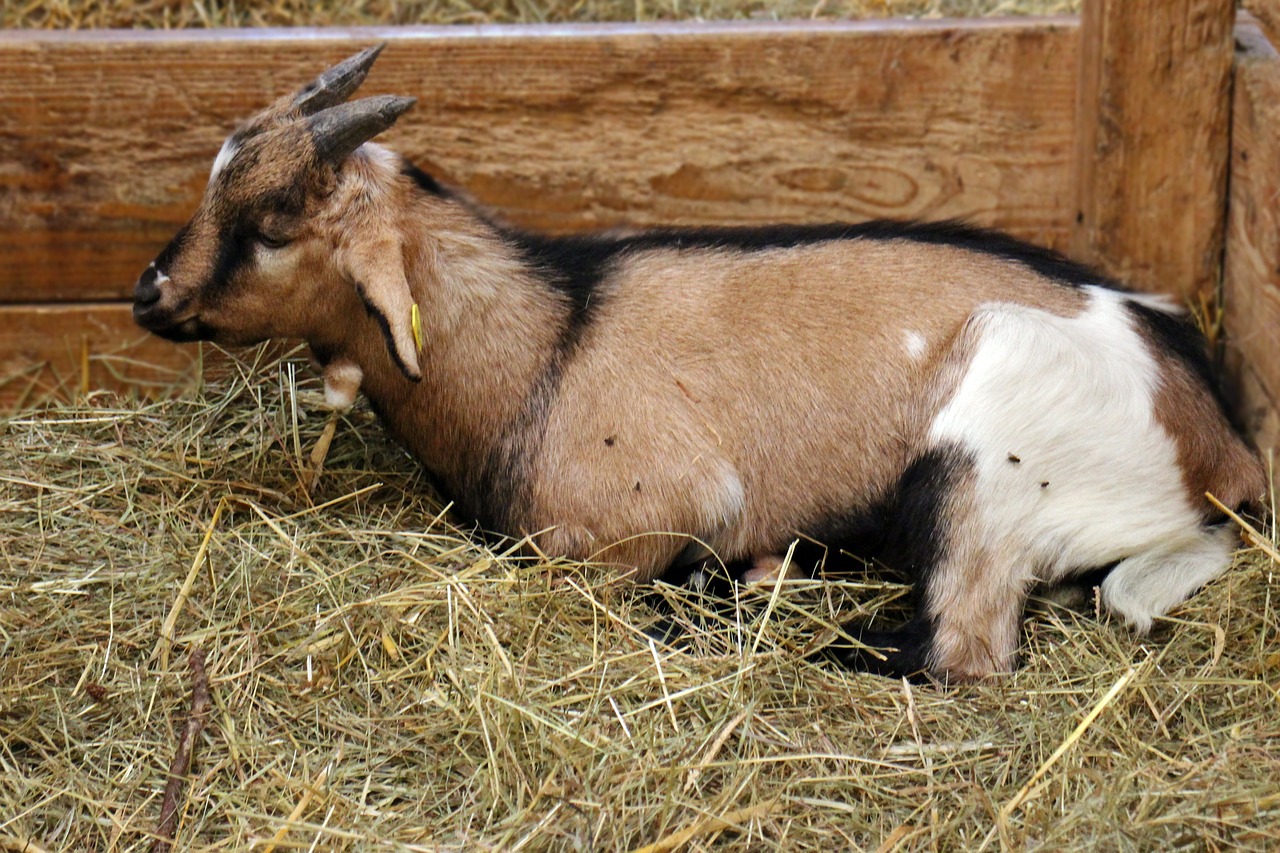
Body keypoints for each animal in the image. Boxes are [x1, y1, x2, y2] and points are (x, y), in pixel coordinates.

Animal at [132, 48, 1259, 686]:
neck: (550, 338)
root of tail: (1221, 449)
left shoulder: (654, 509)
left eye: (272, 225)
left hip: (989, 452)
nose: (148, 293)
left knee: (962, 652)